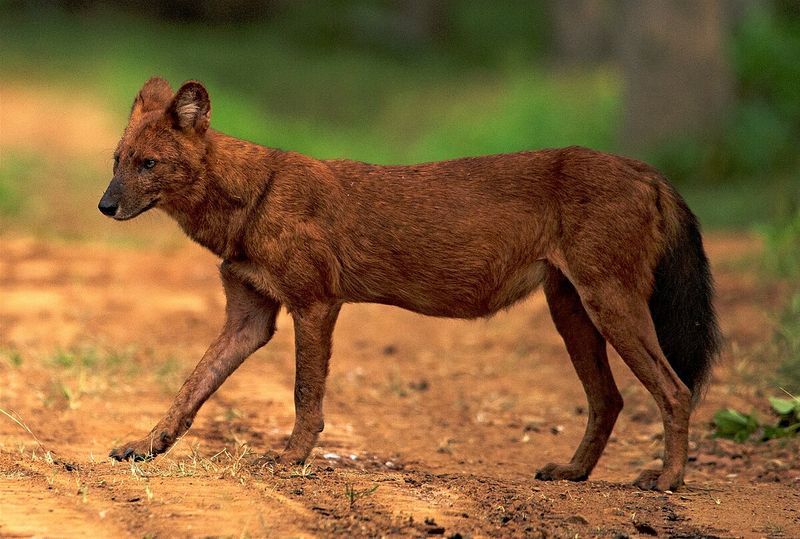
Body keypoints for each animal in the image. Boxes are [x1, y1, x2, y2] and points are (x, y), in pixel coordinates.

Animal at [98, 78, 720, 492]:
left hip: (609, 302)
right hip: (570, 310)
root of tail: (647, 169)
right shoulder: (249, 320)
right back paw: (573, 472)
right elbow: (191, 386)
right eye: (117, 160)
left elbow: (305, 394)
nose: (105, 206)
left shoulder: (315, 304)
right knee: (609, 398)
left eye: (149, 164)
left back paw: (666, 480)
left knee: (674, 390)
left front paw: (291, 458)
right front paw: (145, 445)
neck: (251, 199)